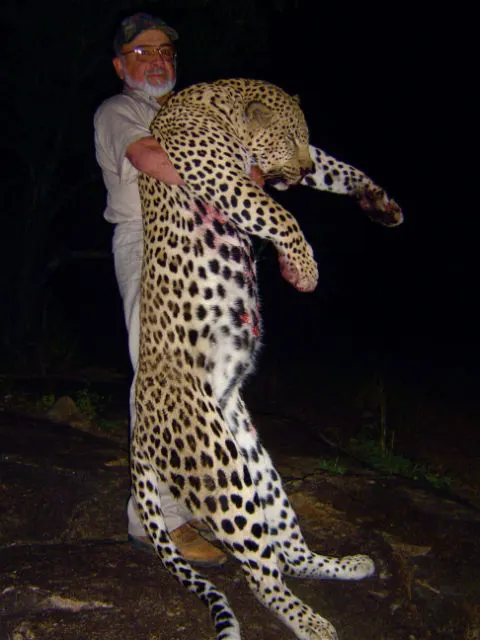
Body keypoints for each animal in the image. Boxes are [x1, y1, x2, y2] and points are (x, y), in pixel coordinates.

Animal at [131, 78, 403, 640]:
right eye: (287, 136)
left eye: (302, 137)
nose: (297, 173)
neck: (217, 105)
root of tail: (138, 434)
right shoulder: (218, 173)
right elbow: (280, 213)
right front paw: (303, 267)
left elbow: (337, 168)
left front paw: (379, 202)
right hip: (220, 473)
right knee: (260, 576)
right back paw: (313, 623)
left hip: (257, 468)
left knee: (288, 554)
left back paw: (350, 565)